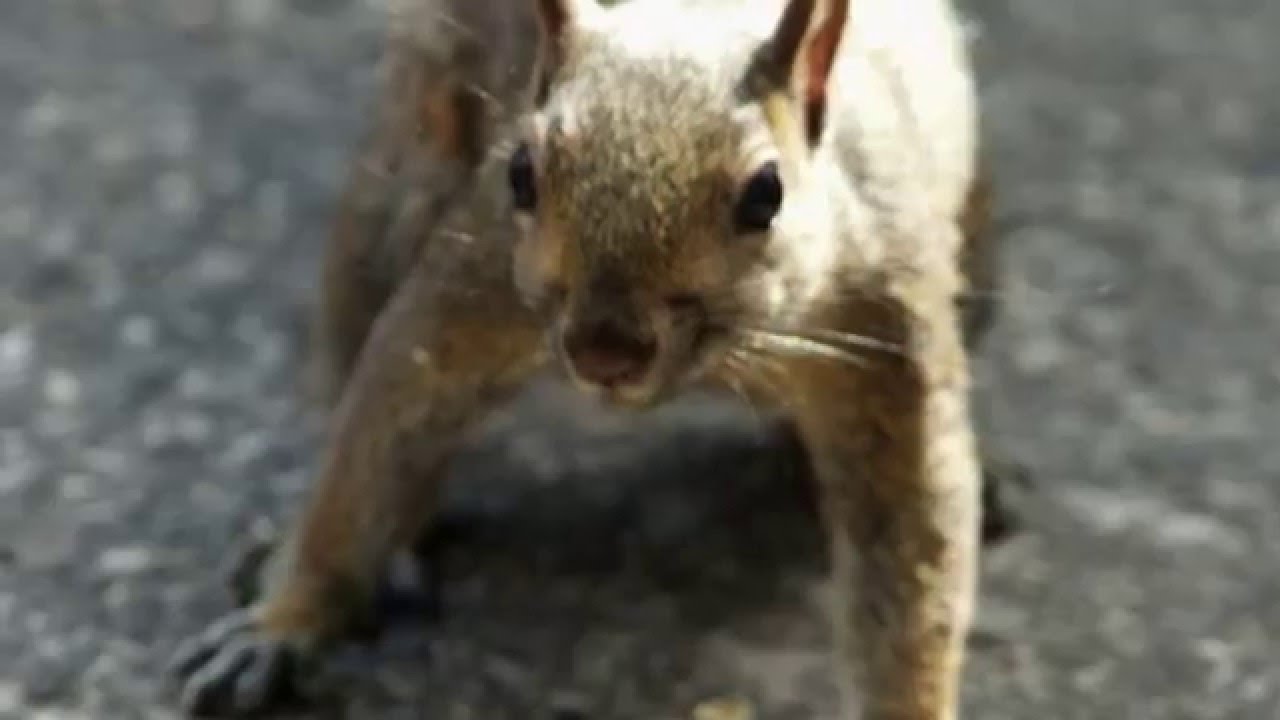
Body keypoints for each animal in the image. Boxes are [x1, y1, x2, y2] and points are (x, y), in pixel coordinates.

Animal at [172, 0, 1019, 717]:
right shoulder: (472, 288)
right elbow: (373, 440)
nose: (605, 351)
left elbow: (911, 553)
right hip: (406, 166)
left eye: (766, 194)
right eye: (521, 172)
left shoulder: (885, 333)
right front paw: (284, 619)